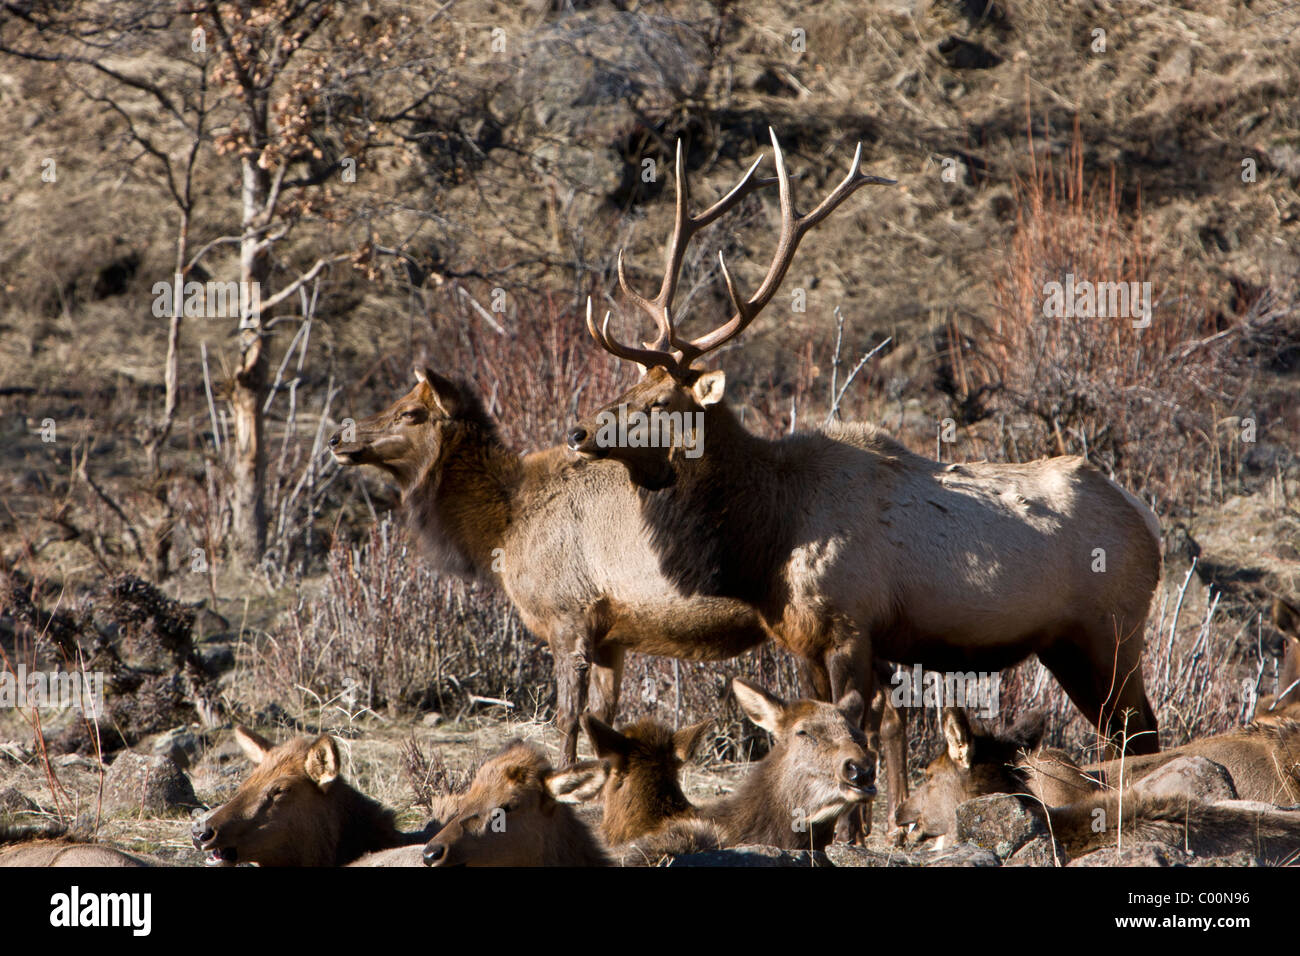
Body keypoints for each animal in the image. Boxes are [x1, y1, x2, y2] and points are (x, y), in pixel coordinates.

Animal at [574, 130, 1164, 827]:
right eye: (631, 385)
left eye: (661, 400)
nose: (578, 432)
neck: (766, 536)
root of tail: (1149, 521)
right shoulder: (802, 640)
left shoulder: (851, 626)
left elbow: (859, 725)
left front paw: (856, 827)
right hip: (1071, 645)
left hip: (1111, 632)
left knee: (1141, 732)